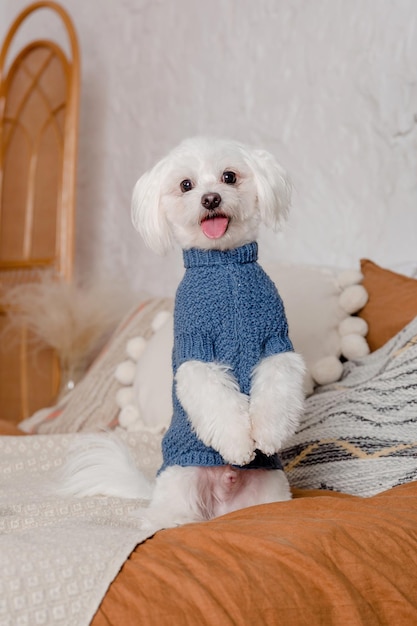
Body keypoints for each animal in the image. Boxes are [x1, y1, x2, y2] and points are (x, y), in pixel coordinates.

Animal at [61, 136, 304, 528]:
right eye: (186, 185)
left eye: (229, 176)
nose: (211, 199)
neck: (224, 266)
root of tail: (220, 506)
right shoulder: (197, 353)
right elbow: (218, 400)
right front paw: (239, 445)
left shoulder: (275, 344)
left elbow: (276, 389)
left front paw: (267, 434)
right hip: (180, 480)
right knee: (169, 514)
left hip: (269, 489)